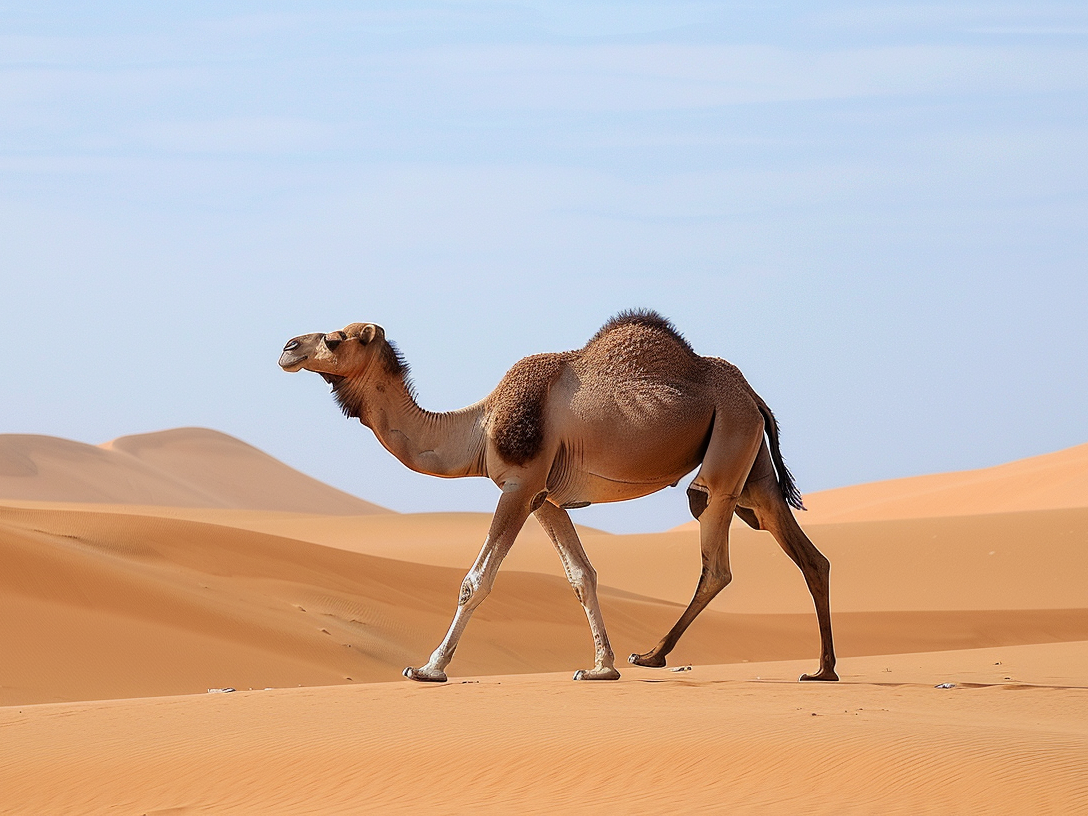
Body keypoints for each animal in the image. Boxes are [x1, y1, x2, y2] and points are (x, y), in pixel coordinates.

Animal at [279, 310, 837, 683]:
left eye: (334, 338)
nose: (287, 346)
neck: (479, 429)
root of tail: (754, 396)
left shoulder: (519, 485)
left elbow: (476, 579)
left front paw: (429, 668)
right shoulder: (546, 497)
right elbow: (581, 576)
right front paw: (601, 668)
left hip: (726, 458)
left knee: (716, 564)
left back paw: (654, 656)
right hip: (752, 468)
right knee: (809, 555)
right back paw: (822, 669)